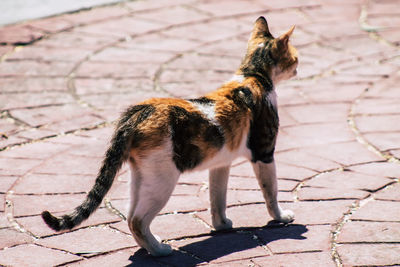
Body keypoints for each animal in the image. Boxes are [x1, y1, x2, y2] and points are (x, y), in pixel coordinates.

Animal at [42, 16, 296, 258]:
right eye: (295, 57)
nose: (297, 67)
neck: (253, 75)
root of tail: (138, 112)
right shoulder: (264, 152)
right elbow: (270, 191)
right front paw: (281, 217)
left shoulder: (220, 164)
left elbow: (217, 198)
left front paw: (222, 225)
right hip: (162, 179)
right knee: (138, 220)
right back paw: (160, 251)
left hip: (141, 177)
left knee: (130, 216)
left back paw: (151, 246)